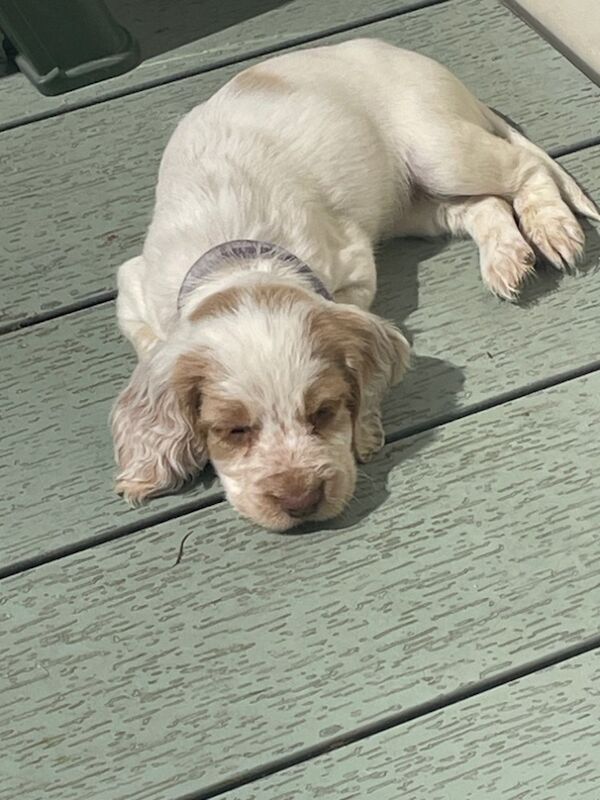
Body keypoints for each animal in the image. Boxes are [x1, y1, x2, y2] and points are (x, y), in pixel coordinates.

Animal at [111, 39, 596, 532]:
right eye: (234, 431)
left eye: (324, 412)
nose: (302, 502)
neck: (239, 259)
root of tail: (404, 53)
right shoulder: (132, 288)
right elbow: (155, 351)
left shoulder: (354, 264)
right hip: (415, 205)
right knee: (484, 206)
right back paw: (505, 257)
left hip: (439, 151)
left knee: (524, 168)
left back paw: (553, 229)